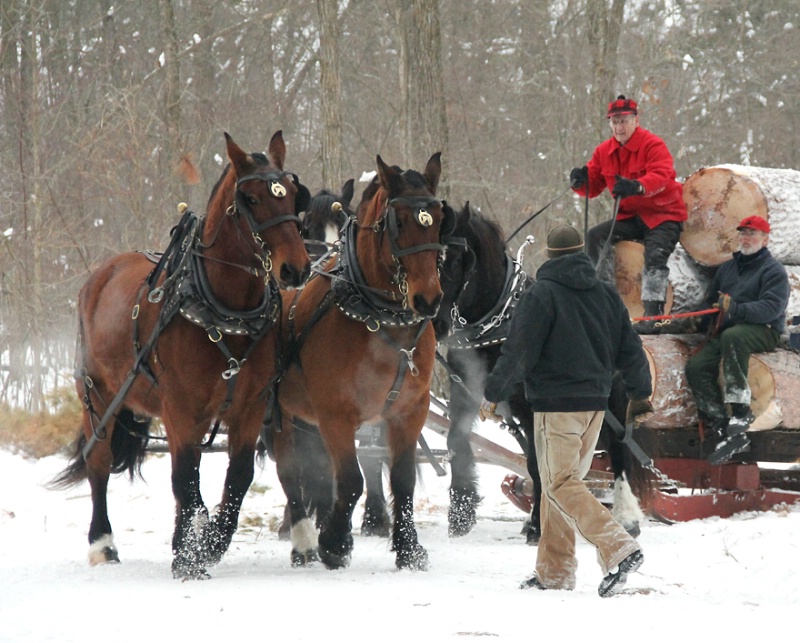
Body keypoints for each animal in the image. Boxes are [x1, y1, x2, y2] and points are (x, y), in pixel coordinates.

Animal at [51, 131, 310, 580]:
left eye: (293, 194)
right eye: (251, 199)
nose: (295, 268)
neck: (224, 310)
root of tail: (103, 273)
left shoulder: (248, 407)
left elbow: (237, 478)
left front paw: (206, 543)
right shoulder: (181, 409)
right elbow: (185, 479)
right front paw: (190, 556)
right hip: (98, 394)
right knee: (99, 462)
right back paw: (102, 543)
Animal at [270, 153, 446, 572]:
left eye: (438, 216)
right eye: (399, 222)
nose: (428, 299)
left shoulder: (409, 411)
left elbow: (401, 478)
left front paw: (408, 547)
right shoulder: (335, 413)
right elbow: (350, 479)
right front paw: (334, 542)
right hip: (279, 412)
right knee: (291, 470)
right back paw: (301, 538)